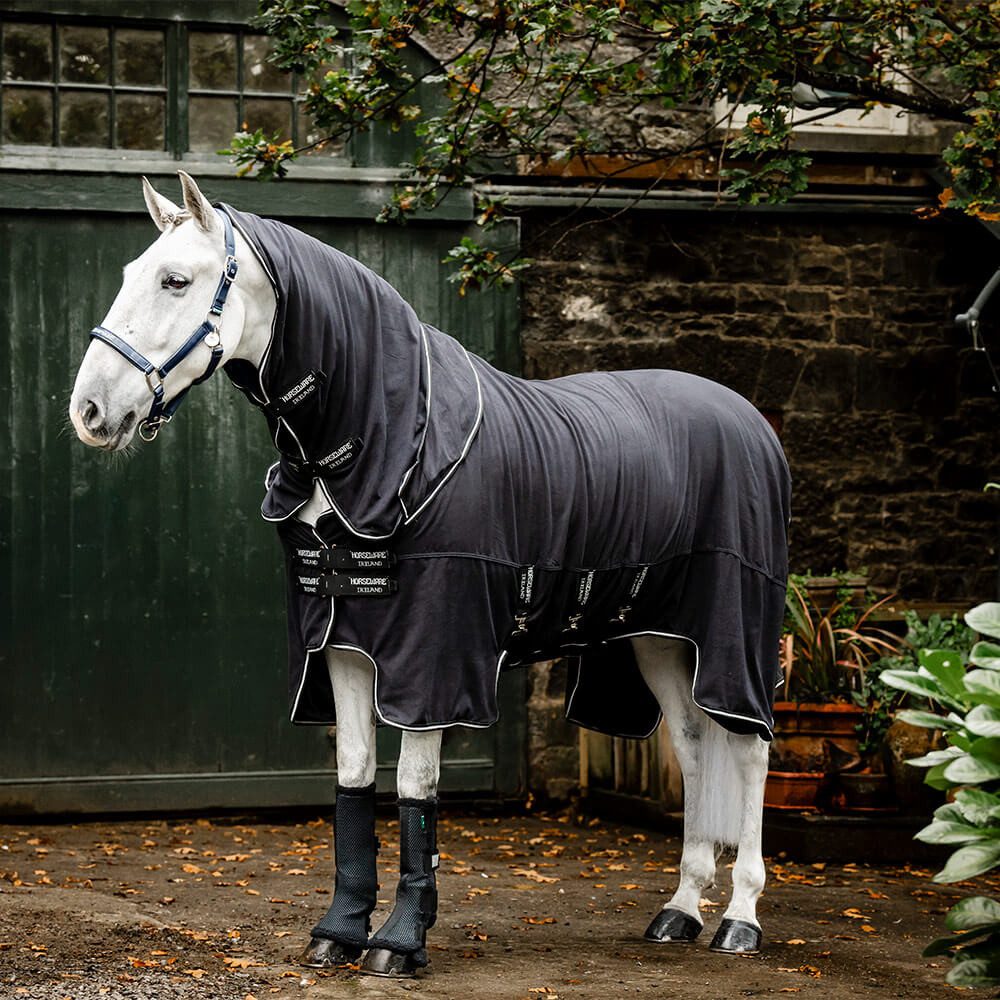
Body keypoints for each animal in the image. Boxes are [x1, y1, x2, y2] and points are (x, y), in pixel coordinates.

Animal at [69, 172, 790, 978]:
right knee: (695, 747)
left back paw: (740, 917)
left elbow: (416, 790)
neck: (385, 443)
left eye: (175, 280)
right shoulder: (343, 648)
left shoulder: (433, 664)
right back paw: (680, 909)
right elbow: (354, 778)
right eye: (131, 273)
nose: (89, 409)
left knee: (750, 750)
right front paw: (339, 931)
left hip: (732, 637)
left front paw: (400, 941)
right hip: (656, 639)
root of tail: (750, 421)